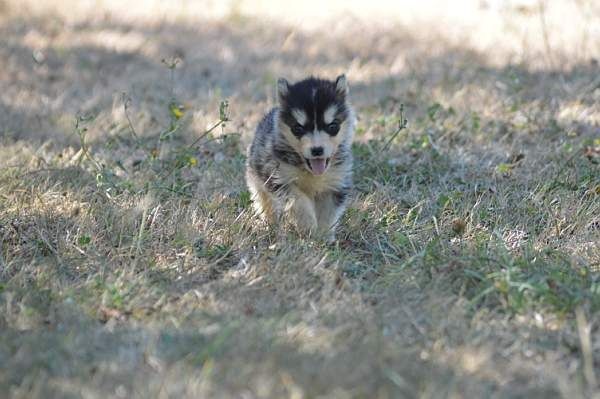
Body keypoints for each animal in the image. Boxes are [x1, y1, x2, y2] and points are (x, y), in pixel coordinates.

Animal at [245, 75, 354, 241]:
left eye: (332, 126)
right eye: (297, 128)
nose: (317, 150)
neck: (310, 172)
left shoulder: (336, 182)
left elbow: (328, 212)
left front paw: (323, 235)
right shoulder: (280, 177)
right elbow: (299, 201)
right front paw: (308, 225)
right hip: (257, 179)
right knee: (265, 201)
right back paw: (270, 223)